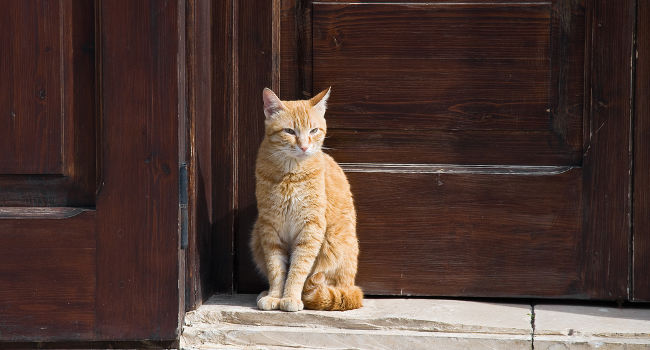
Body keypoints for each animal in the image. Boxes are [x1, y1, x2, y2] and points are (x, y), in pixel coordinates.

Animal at [248, 87, 362, 312]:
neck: (290, 174)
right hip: (256, 235)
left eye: (313, 131)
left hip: (334, 243)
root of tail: (352, 286)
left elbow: (298, 268)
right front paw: (275, 295)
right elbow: (276, 269)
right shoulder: (269, 227)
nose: (303, 146)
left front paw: (290, 297)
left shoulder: (311, 227)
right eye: (290, 131)